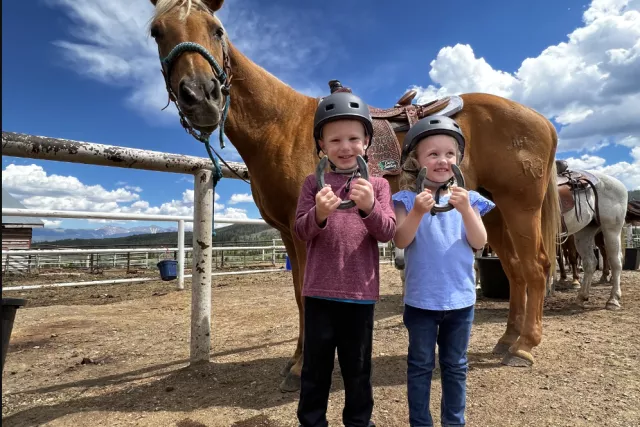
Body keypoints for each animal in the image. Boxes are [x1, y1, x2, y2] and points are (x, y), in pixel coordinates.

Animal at [146, 0, 560, 392]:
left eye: (217, 30)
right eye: (157, 32)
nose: (201, 96)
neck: (282, 126)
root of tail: (541, 119)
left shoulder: (303, 234)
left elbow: (305, 296)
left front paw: (300, 367)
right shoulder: (290, 232)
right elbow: (299, 294)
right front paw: (296, 361)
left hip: (520, 206)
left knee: (535, 267)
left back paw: (524, 346)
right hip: (493, 211)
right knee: (515, 270)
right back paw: (507, 340)